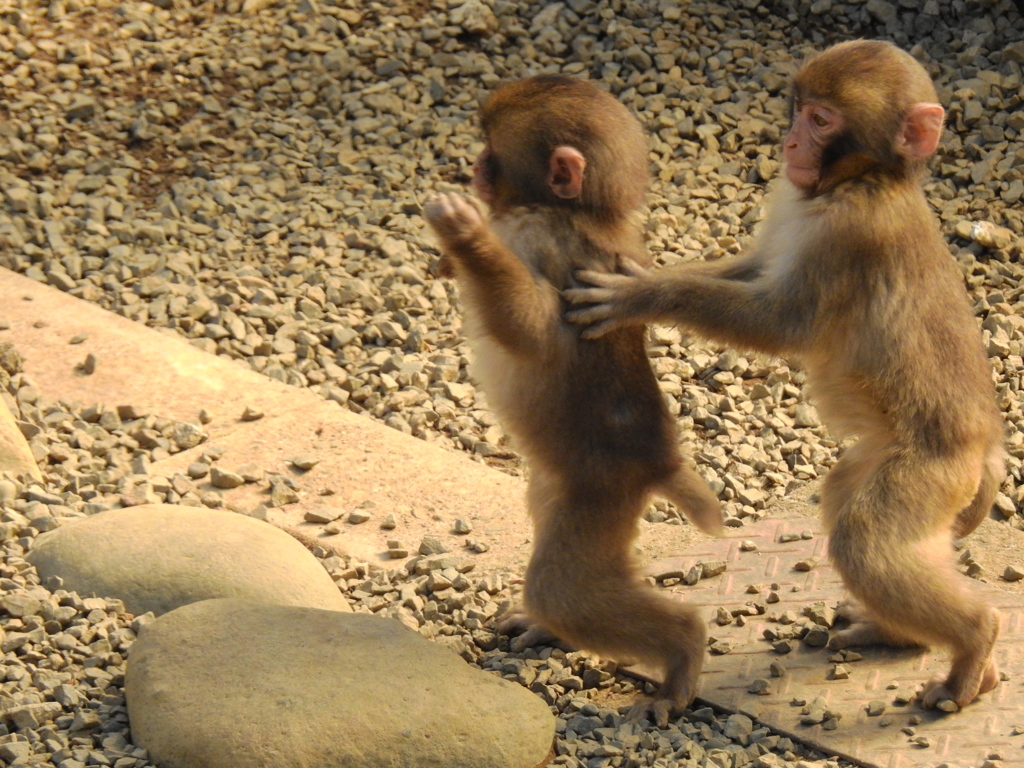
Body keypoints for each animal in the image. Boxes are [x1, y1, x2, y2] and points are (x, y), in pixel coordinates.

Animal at [419, 75, 724, 724]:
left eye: (492, 152)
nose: (474, 168)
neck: (570, 209)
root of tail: (659, 462)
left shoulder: (549, 245)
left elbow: (534, 331)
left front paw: (465, 236)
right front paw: (449, 257)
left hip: (600, 498)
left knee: (562, 590)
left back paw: (682, 655)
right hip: (559, 489)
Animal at [565, 39, 1003, 708]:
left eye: (822, 120)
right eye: (799, 109)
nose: (791, 142)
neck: (860, 181)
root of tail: (985, 447)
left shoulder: (852, 230)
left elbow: (782, 323)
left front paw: (642, 294)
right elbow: (752, 270)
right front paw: (652, 271)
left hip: (931, 471)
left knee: (864, 543)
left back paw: (976, 641)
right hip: (887, 460)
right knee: (848, 498)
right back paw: (904, 636)